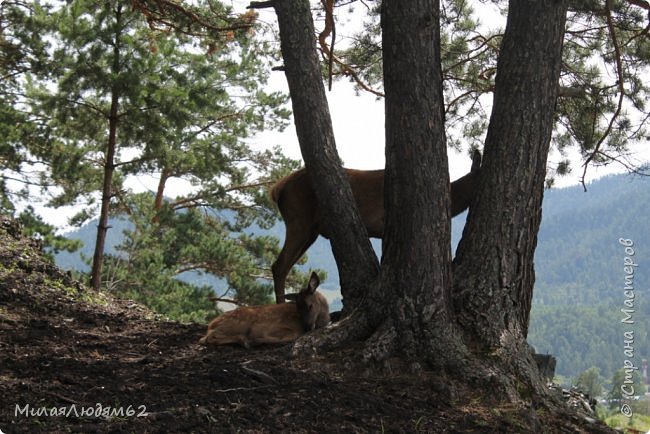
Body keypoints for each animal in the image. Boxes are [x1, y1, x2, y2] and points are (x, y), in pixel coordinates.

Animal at [197, 272, 326, 348]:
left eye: (310, 306)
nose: (307, 328)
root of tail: (211, 324)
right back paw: (245, 340)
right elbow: (292, 335)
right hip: (237, 324)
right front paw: (257, 340)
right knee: (206, 338)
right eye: (297, 308)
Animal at [268, 151, 480, 304]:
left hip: (310, 231)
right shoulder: (384, 225)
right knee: (279, 265)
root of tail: (277, 189)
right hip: (299, 220)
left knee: (284, 265)